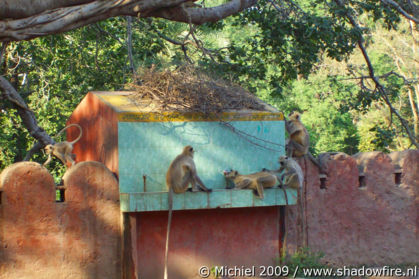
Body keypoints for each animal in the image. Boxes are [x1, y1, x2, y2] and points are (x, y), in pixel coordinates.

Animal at [165, 145, 212, 279]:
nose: (195, 152)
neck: (183, 154)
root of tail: (171, 185)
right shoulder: (190, 161)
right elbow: (194, 174)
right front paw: (206, 189)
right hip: (181, 186)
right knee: (190, 173)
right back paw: (195, 189)